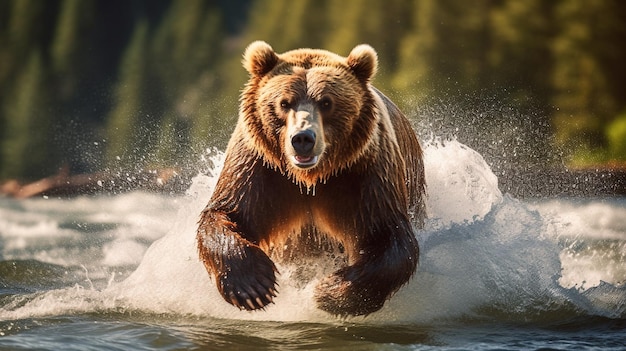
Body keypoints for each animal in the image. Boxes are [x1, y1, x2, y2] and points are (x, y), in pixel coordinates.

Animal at [197, 40, 426, 316]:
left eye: (326, 102)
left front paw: (330, 292)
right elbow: (227, 213)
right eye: (284, 103)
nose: (303, 138)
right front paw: (254, 286)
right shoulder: (261, 169)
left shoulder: (364, 173)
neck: (309, 178)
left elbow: (388, 236)